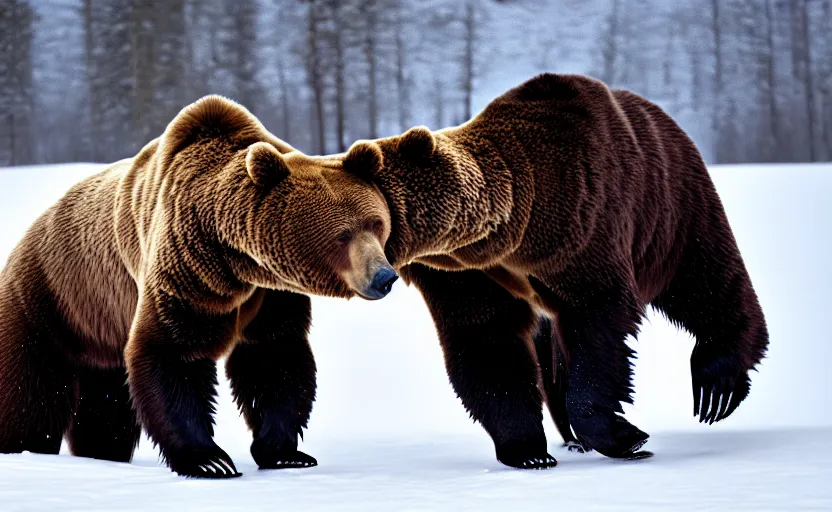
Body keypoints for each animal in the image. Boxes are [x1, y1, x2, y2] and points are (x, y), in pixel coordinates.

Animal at [0, 94, 400, 478]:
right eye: (342, 235)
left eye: (377, 223)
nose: (384, 276)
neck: (240, 265)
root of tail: (25, 238)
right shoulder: (187, 270)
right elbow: (173, 351)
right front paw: (210, 461)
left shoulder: (270, 297)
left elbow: (274, 356)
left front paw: (285, 452)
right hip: (48, 302)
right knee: (30, 398)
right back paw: (24, 449)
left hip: (100, 330)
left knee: (107, 409)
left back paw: (101, 454)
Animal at [302, 74, 772, 470]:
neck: (504, 237)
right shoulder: (468, 276)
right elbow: (487, 341)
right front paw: (529, 450)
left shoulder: (576, 224)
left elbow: (599, 323)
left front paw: (627, 436)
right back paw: (571, 437)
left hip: (669, 204)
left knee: (705, 277)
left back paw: (718, 385)